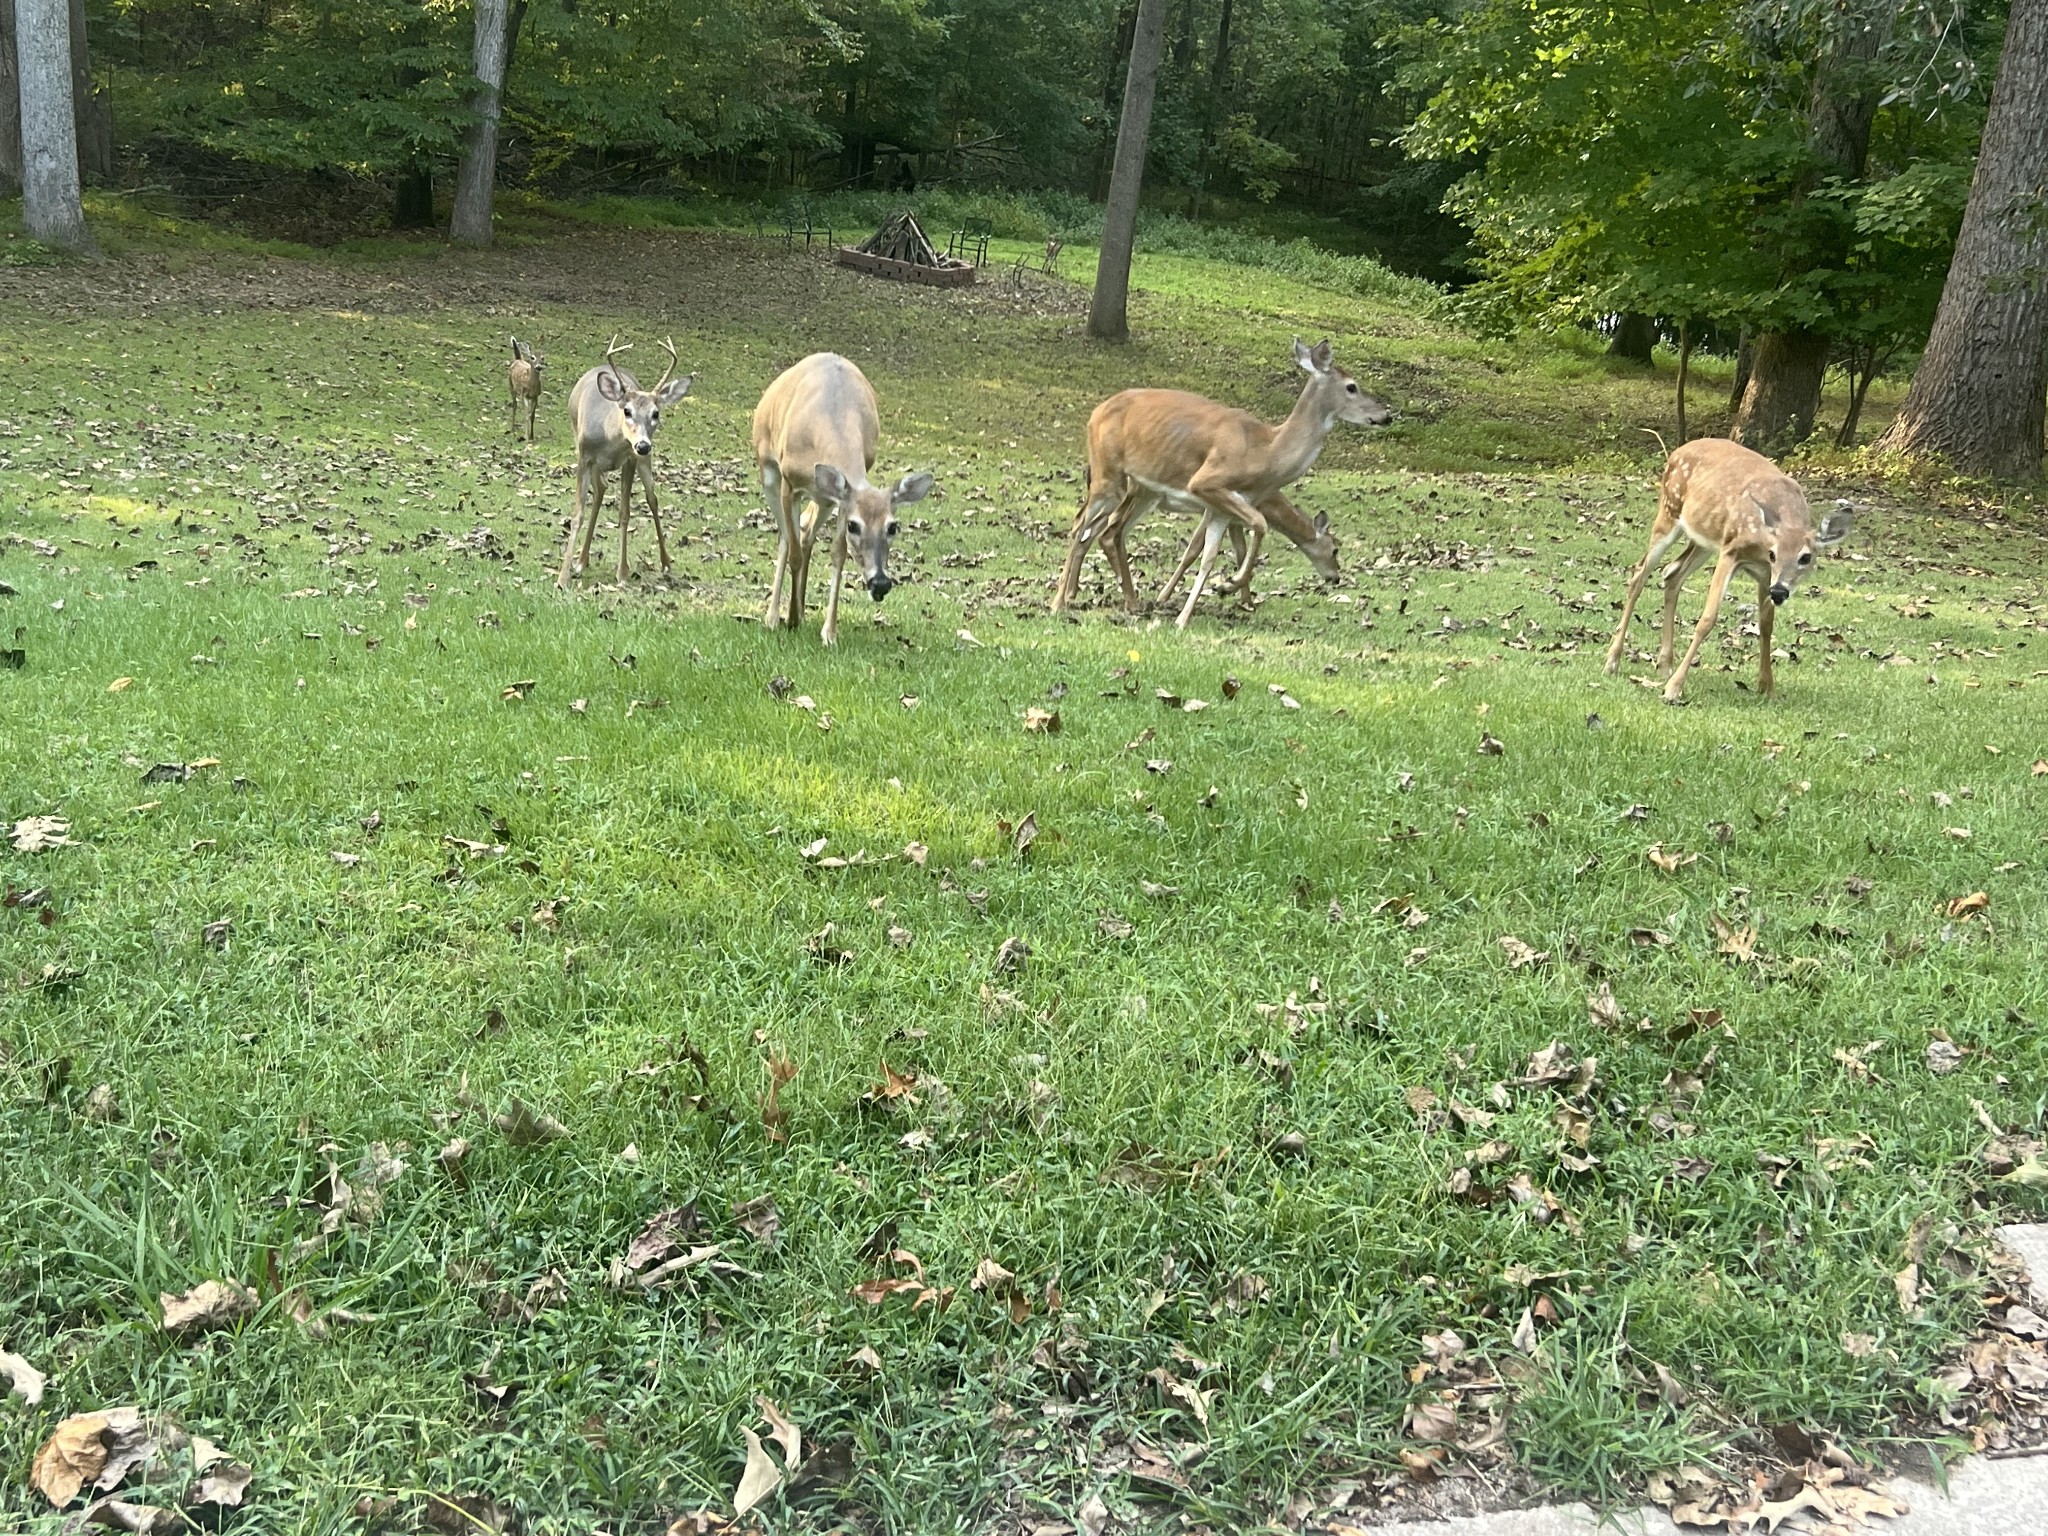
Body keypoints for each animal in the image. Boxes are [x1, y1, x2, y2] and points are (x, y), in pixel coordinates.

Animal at [557, 335, 692, 589]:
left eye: (656, 413)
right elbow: (578, 513)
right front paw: (562, 577)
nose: (643, 445)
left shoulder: (630, 460)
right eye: (627, 411)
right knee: (600, 490)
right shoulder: (584, 456)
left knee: (652, 498)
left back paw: (666, 563)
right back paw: (582, 561)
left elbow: (624, 514)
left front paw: (622, 573)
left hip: (642, 462)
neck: (609, 438)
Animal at [753, 354, 937, 643]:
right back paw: (774, 617)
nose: (880, 583)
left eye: (892, 527)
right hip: (769, 471)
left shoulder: (842, 497)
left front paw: (829, 632)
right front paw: (789, 619)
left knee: (806, 531)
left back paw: (801, 608)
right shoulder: (790, 484)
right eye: (854, 525)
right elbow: (792, 552)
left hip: (824, 496)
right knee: (786, 536)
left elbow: (838, 555)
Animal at [1056, 335, 1392, 626]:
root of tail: (1095, 413)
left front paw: (1185, 617)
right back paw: (1060, 602)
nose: (1386, 415)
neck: (1264, 453)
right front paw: (1230, 587)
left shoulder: (1221, 508)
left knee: (1102, 530)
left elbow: (1209, 556)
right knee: (1082, 525)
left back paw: (1113, 600)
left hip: (1139, 489)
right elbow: (1253, 529)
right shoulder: (1208, 484)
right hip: (1111, 477)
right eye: (1352, 386)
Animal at [1597, 436, 1859, 708]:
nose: (1779, 591)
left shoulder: (1764, 574)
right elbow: (1707, 620)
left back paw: (1664, 665)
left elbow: (1766, 625)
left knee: (1672, 573)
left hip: (1703, 539)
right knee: (1640, 573)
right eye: (1774, 554)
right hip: (1669, 511)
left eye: (1806, 557)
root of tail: (1677, 451)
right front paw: (1674, 689)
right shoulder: (1730, 552)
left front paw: (1767, 687)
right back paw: (1613, 661)